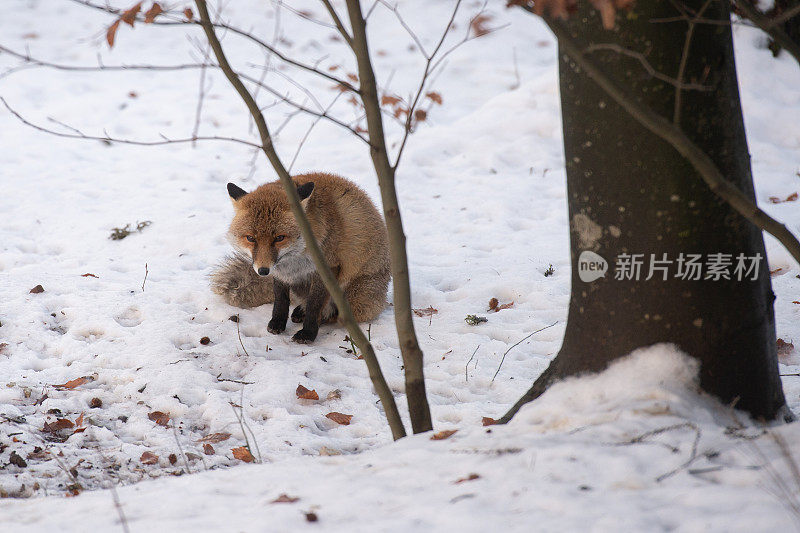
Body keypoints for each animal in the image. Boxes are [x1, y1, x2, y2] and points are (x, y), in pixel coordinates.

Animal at [211, 172, 390, 342]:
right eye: (250, 238)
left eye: (279, 238)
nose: (263, 271)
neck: (296, 259)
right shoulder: (281, 273)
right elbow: (281, 299)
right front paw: (277, 322)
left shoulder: (327, 268)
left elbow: (315, 305)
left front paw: (308, 333)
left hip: (354, 298)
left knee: (336, 314)